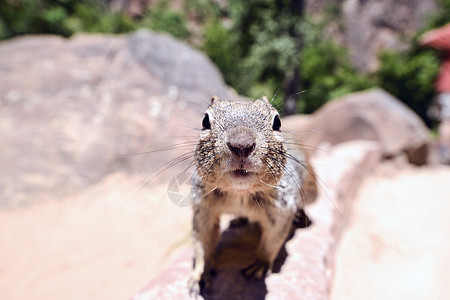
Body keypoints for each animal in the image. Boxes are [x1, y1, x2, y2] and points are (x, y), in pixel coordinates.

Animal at [188, 96, 318, 296]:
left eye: (277, 122)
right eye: (205, 121)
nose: (241, 145)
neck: (240, 192)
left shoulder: (281, 210)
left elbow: (272, 241)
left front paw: (260, 264)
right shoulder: (203, 209)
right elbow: (202, 242)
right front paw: (200, 275)